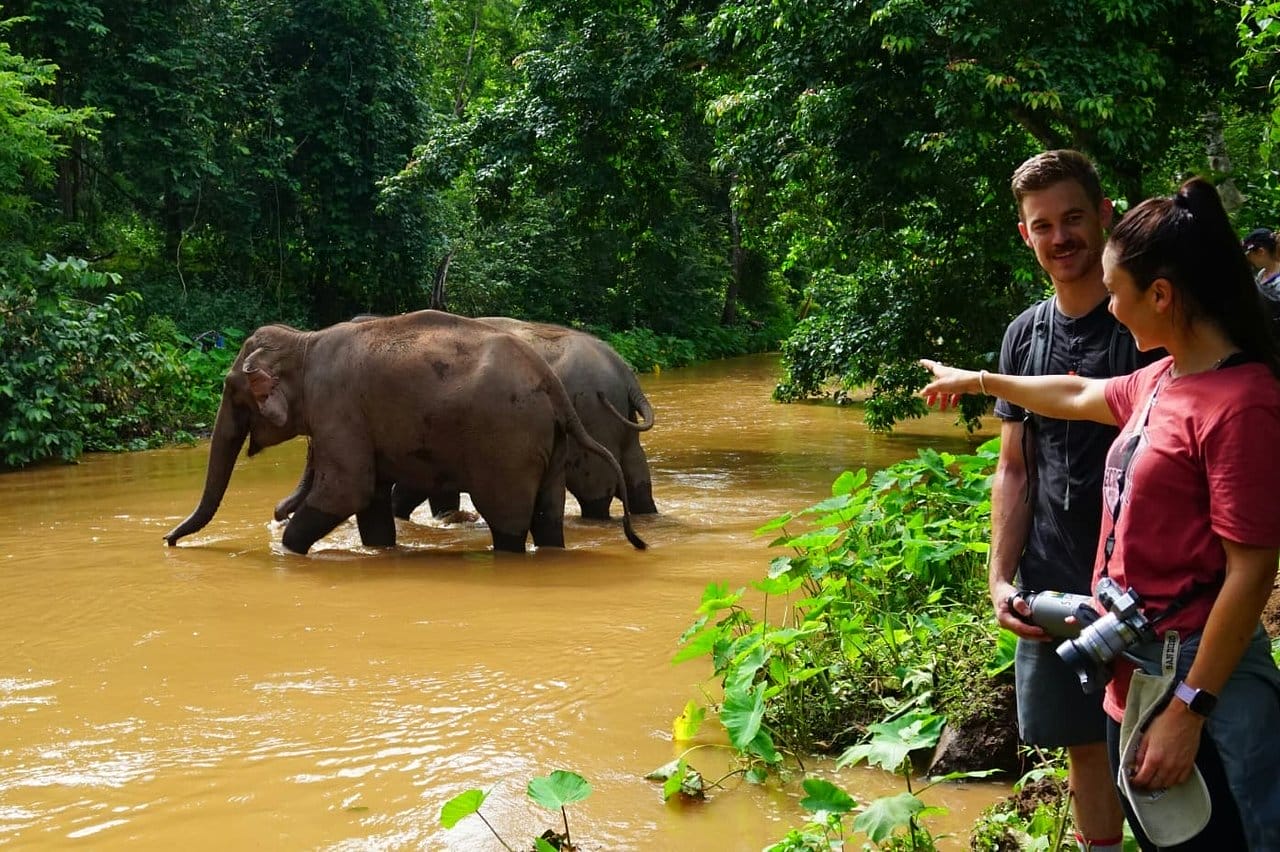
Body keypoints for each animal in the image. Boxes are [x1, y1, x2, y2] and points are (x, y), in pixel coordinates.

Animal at [273, 317, 658, 524]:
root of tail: (626, 373)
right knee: (637, 478)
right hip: (617, 425)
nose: (279, 515)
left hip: (593, 416)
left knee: (595, 491)